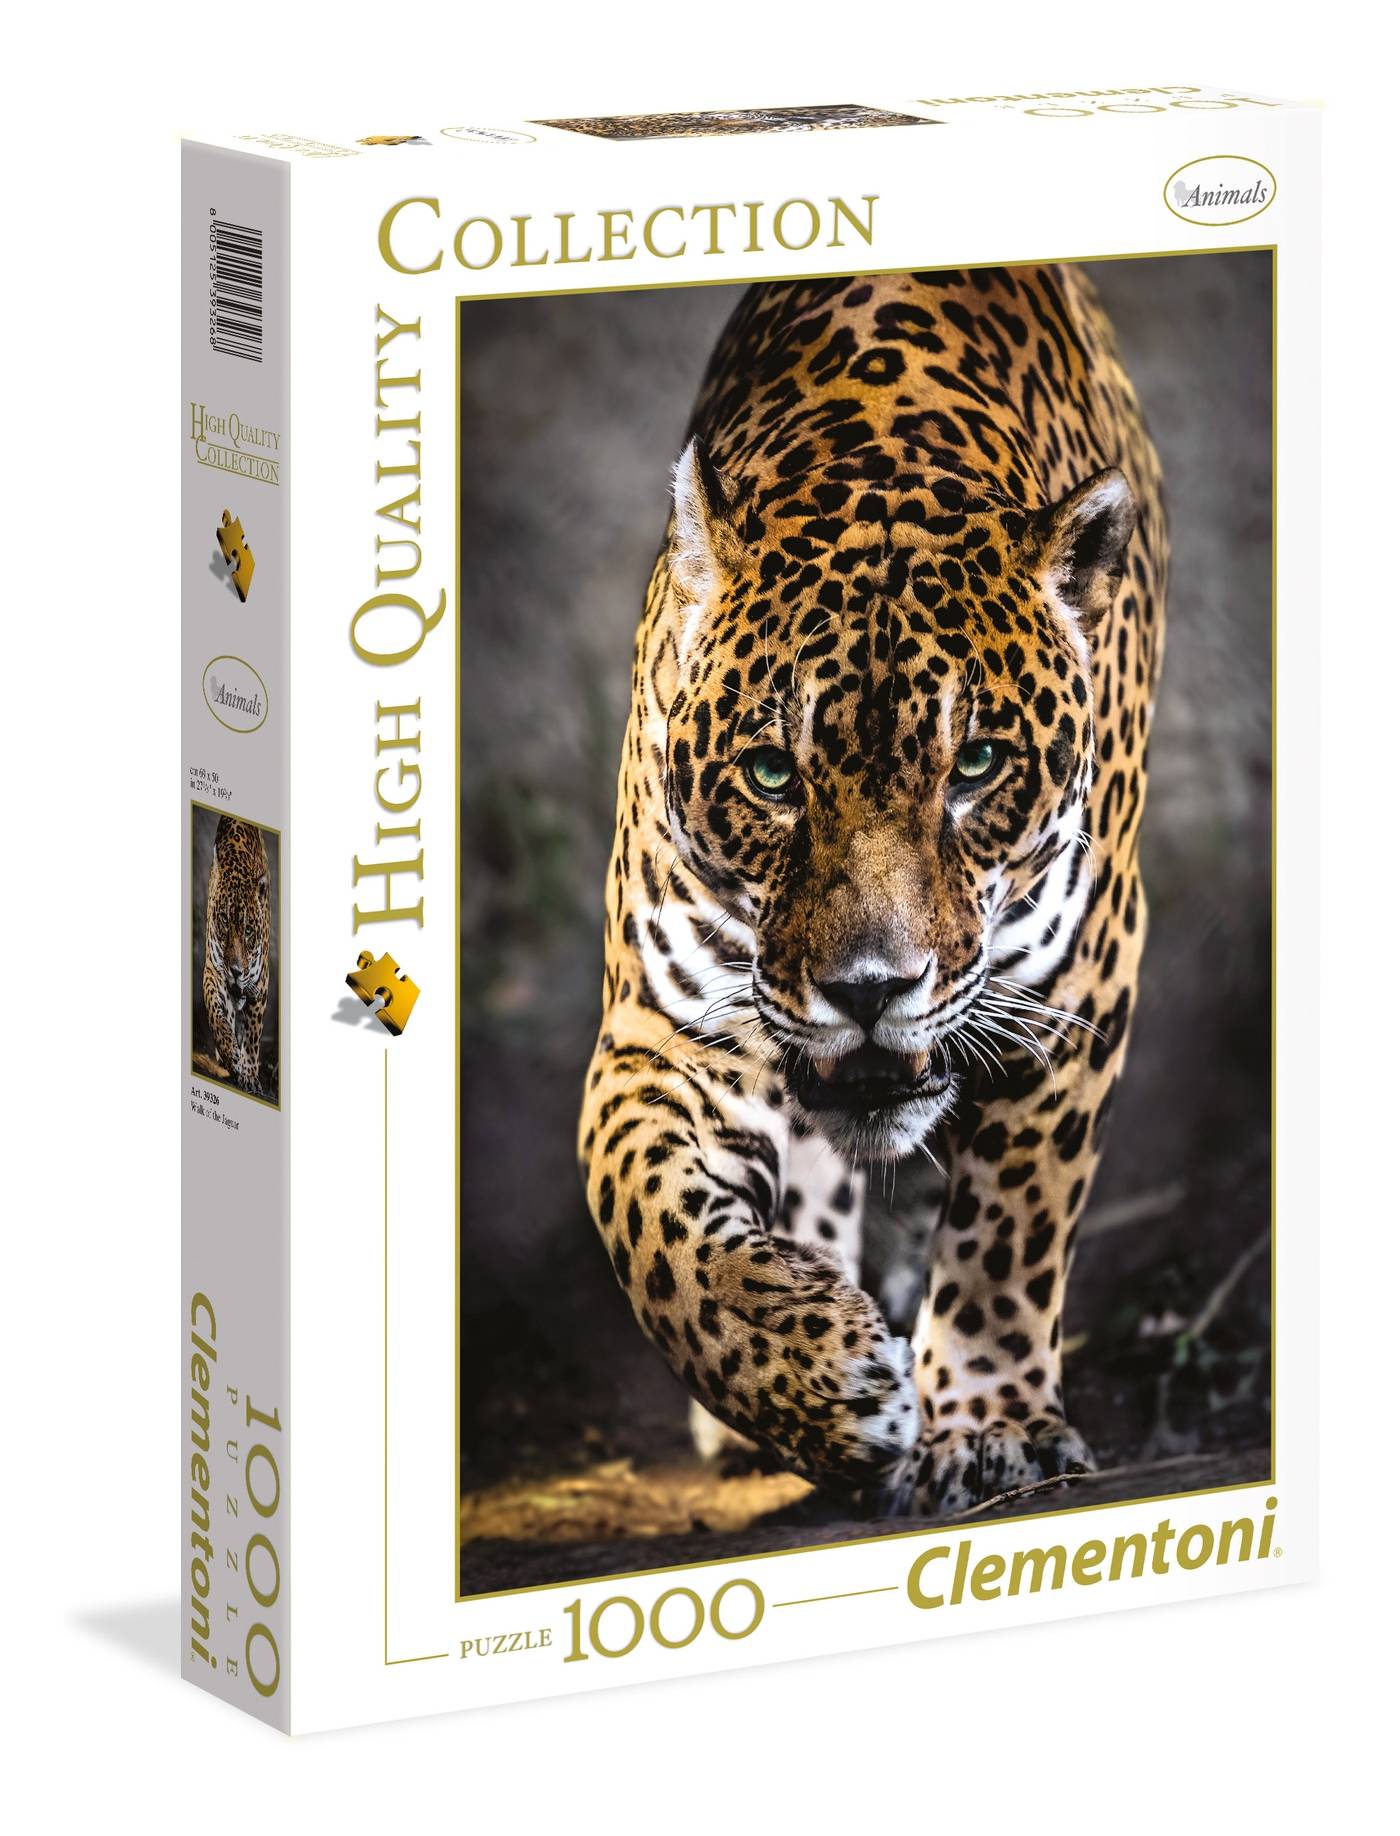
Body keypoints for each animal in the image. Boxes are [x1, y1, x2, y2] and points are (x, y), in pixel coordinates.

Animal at [201, 816, 272, 1097]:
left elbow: (252, 1036)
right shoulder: (213, 970)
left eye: (249, 930)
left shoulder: (260, 985)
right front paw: (230, 1053)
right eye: (223, 919)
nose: (235, 970)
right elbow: (215, 1011)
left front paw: (250, 1076)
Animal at [578, 265, 1167, 1518]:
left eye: (976, 766)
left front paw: (986, 1426)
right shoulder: (664, 1030)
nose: (867, 990)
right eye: (770, 775)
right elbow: (647, 1223)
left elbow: (1009, 1226)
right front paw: (813, 1379)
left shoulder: (1074, 988)